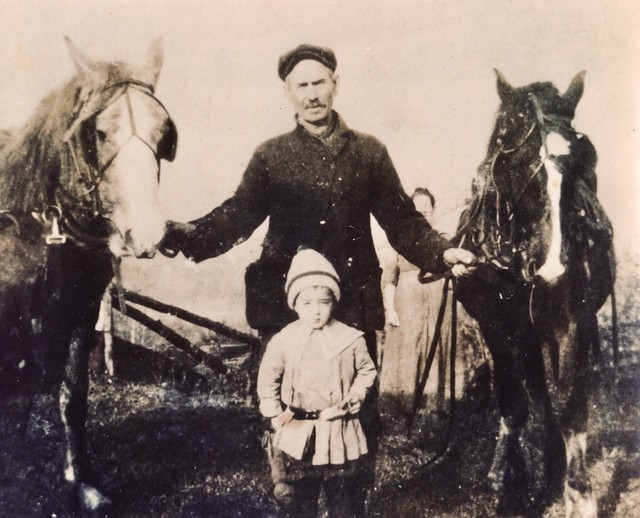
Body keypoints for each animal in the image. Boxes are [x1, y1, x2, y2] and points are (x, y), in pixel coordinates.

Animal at [0, 37, 177, 513]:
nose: (146, 234)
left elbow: (72, 395)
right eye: (98, 132)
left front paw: (82, 482)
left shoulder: (78, 310)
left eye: (164, 134)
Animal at [455, 70, 614, 517]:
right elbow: (514, 404)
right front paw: (512, 484)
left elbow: (569, 404)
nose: (553, 268)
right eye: (512, 164)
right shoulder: (497, 326)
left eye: (585, 159)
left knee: (546, 397)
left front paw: (578, 492)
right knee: (529, 395)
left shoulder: (573, 320)